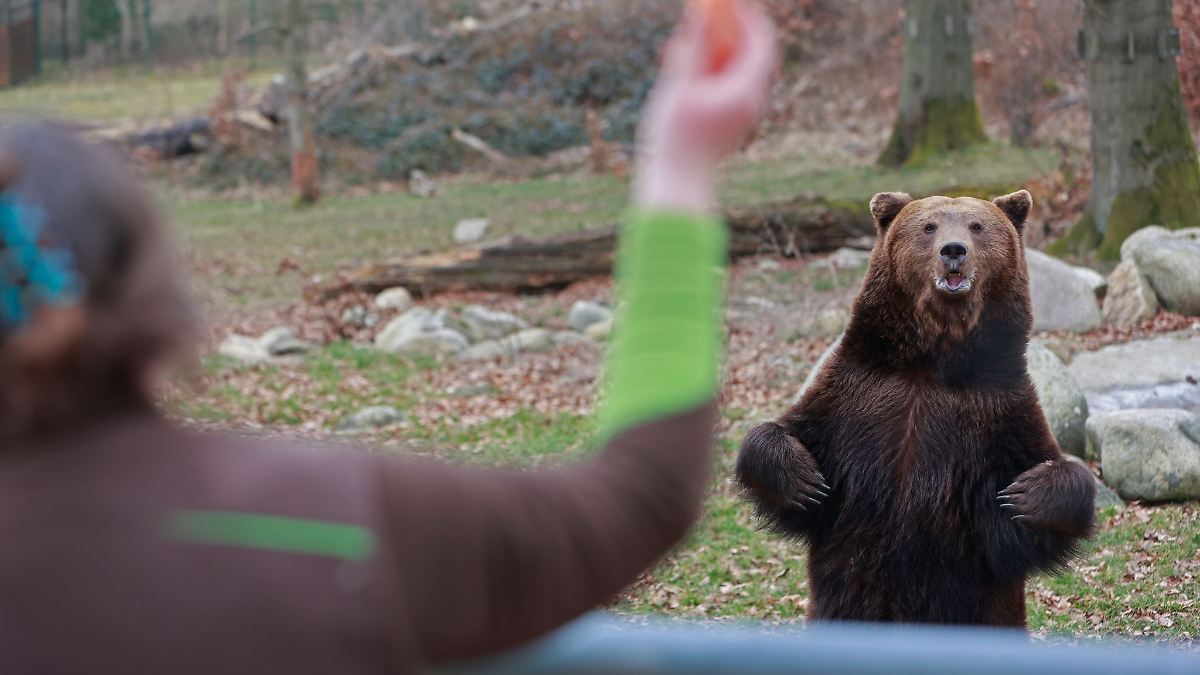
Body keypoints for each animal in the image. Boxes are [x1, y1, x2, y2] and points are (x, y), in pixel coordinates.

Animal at [735, 190, 1096, 627]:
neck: (931, 363)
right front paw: (804, 479)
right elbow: (785, 435)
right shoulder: (853, 394)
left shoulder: (1000, 409)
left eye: (977, 226)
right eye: (928, 226)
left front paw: (1024, 494)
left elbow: (1053, 474)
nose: (953, 250)